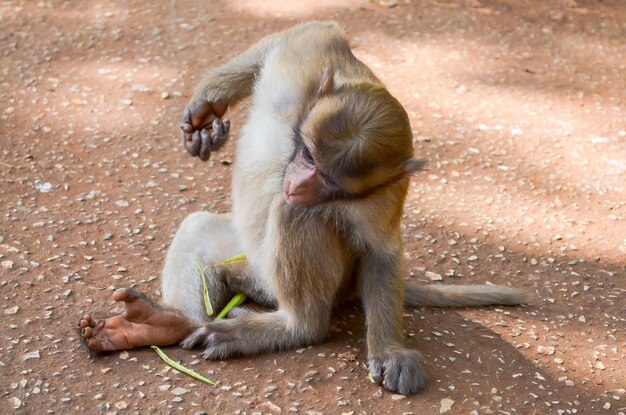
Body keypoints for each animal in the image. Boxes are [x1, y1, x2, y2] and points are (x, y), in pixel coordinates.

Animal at [79, 20, 528, 396]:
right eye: (309, 155)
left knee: (297, 214)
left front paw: (388, 350)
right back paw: (166, 322)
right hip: (252, 266)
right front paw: (207, 106)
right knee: (201, 227)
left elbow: (381, 250)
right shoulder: (306, 64)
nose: (296, 184)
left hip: (319, 281)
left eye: (331, 182)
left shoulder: (381, 193)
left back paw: (295, 327)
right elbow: (304, 32)